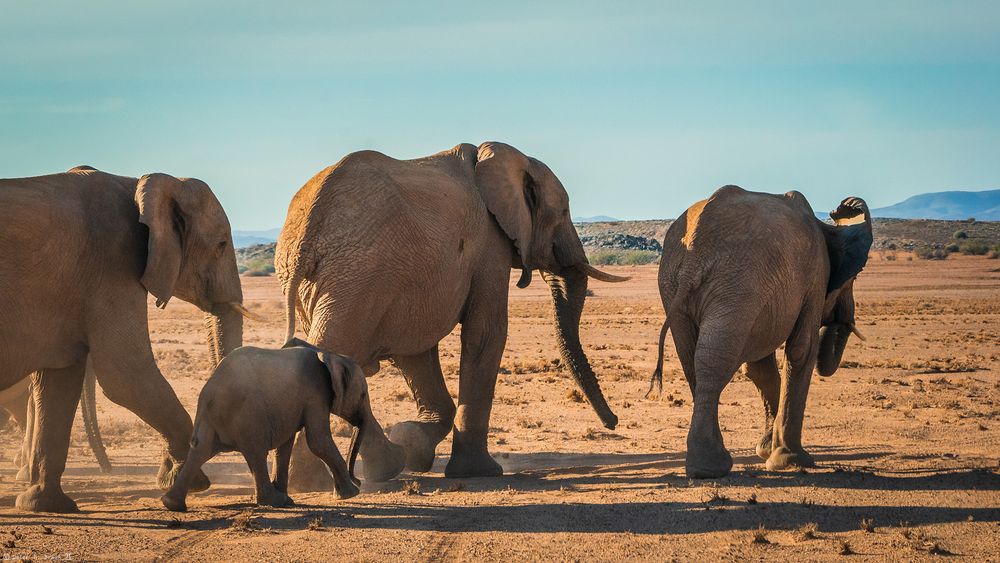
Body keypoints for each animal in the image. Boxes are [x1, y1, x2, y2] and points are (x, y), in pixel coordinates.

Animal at [0, 165, 246, 512]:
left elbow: (59, 383)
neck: (138, 183)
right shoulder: (112, 265)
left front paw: (44, 504)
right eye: (222, 244)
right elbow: (128, 376)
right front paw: (190, 482)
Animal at [162, 338, 370, 512]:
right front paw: (351, 494)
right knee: (256, 452)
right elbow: (318, 441)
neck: (330, 355)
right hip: (247, 415)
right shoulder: (316, 394)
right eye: (363, 395)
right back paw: (274, 501)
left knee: (200, 450)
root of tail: (210, 392)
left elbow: (285, 446)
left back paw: (171, 504)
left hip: (209, 418)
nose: (359, 480)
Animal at [274, 142, 628, 490]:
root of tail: (307, 233)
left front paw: (412, 447)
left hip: (333, 281)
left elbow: (414, 352)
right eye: (564, 213)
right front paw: (480, 472)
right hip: (357, 276)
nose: (613, 422)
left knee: (348, 357)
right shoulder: (489, 244)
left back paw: (364, 469)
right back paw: (312, 482)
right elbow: (486, 334)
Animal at [648, 189, 876, 480]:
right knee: (713, 361)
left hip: (678, 285)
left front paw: (767, 451)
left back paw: (705, 467)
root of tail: (694, 254)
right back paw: (711, 467)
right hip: (739, 283)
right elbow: (801, 350)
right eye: (855, 277)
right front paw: (791, 460)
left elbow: (759, 368)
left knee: (694, 359)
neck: (826, 227)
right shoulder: (815, 277)